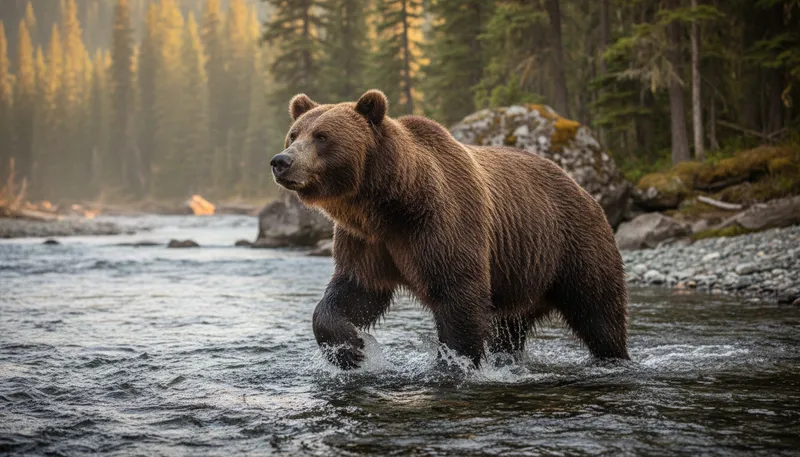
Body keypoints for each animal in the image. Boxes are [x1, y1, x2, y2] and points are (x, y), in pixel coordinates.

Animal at [270, 89, 630, 370]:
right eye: (294, 134)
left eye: (322, 136)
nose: (281, 161)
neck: (389, 204)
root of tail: (584, 190)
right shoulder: (368, 240)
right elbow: (355, 290)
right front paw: (350, 349)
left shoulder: (442, 224)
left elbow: (459, 295)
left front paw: (455, 365)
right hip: (520, 275)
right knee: (509, 328)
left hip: (574, 246)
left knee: (598, 312)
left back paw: (613, 356)